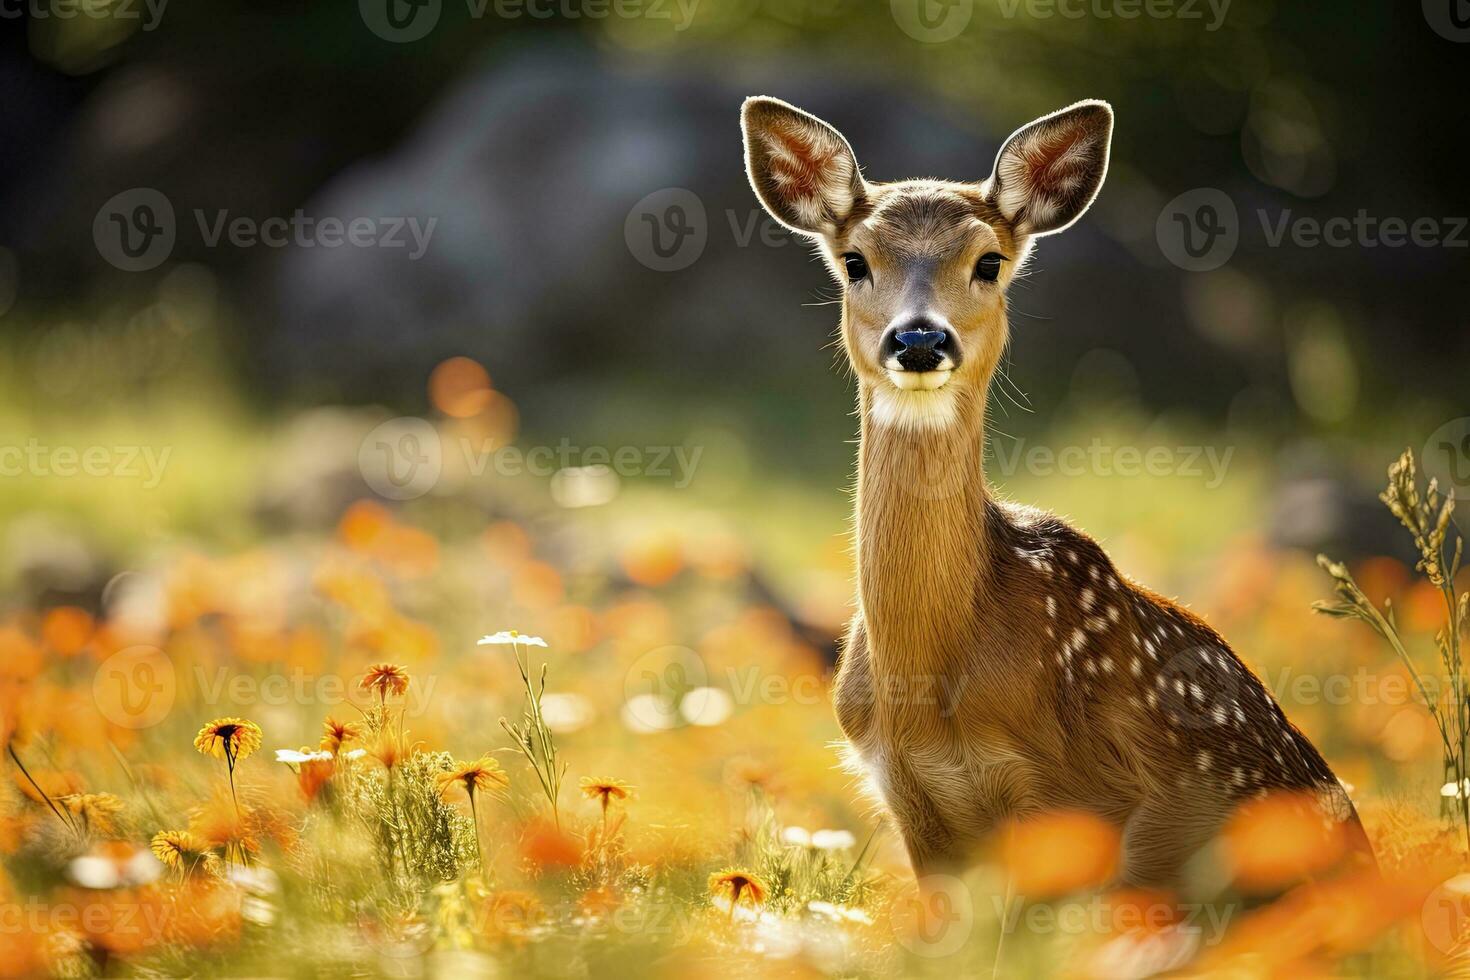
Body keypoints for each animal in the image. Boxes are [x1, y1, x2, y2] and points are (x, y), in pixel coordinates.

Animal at [740, 95, 1370, 887]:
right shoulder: (913, 808)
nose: (919, 341)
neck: (929, 690)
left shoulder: (1088, 800)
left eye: (988, 261)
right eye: (856, 260)